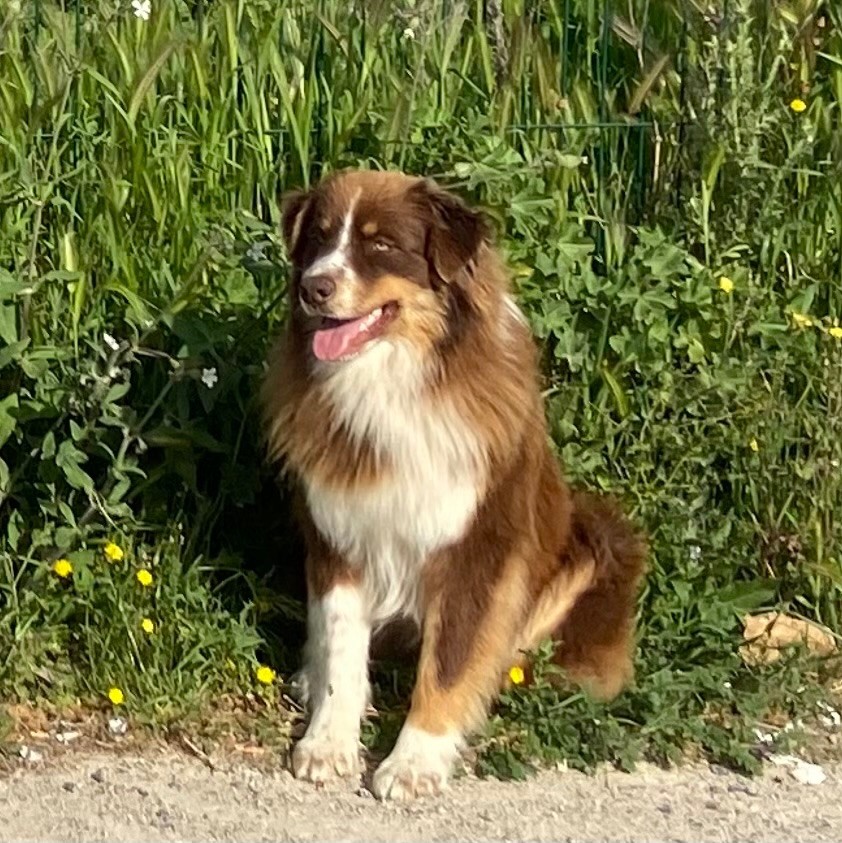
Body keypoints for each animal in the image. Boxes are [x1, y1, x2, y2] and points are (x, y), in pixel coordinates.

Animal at [260, 168, 644, 800]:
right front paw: (327, 743)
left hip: (596, 535)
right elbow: (341, 650)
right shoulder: (338, 535)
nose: (314, 288)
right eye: (316, 238)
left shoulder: (477, 549)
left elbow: (451, 661)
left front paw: (415, 760)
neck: (392, 382)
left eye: (380, 245)